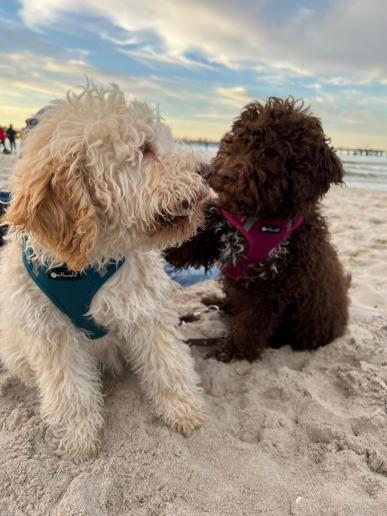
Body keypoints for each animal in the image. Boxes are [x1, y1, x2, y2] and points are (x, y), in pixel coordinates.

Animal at [0, 83, 208, 460]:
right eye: (145, 149)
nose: (208, 172)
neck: (87, 262)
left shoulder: (146, 309)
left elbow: (168, 363)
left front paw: (182, 409)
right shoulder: (50, 333)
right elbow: (68, 389)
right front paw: (78, 437)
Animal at [167, 98, 352, 362]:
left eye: (270, 153)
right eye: (237, 140)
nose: (222, 174)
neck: (256, 219)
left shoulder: (272, 286)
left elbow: (250, 324)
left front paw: (229, 351)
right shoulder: (218, 234)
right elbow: (188, 246)